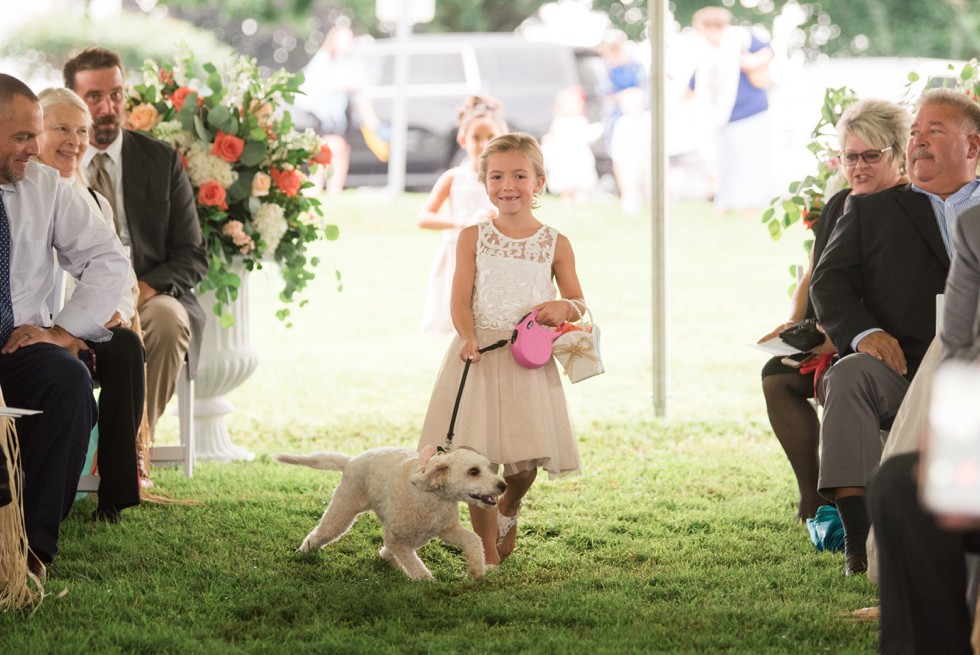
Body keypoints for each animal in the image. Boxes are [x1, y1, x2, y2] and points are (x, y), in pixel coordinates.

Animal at [274, 446, 506, 580]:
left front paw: (477, 571)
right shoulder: (396, 537)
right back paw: (304, 551)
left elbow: (473, 540)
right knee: (322, 532)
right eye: (473, 471)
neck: (431, 495)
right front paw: (429, 584)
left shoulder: (447, 529)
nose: (503, 485)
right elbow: (417, 569)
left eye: (489, 468)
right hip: (343, 509)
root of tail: (350, 461)